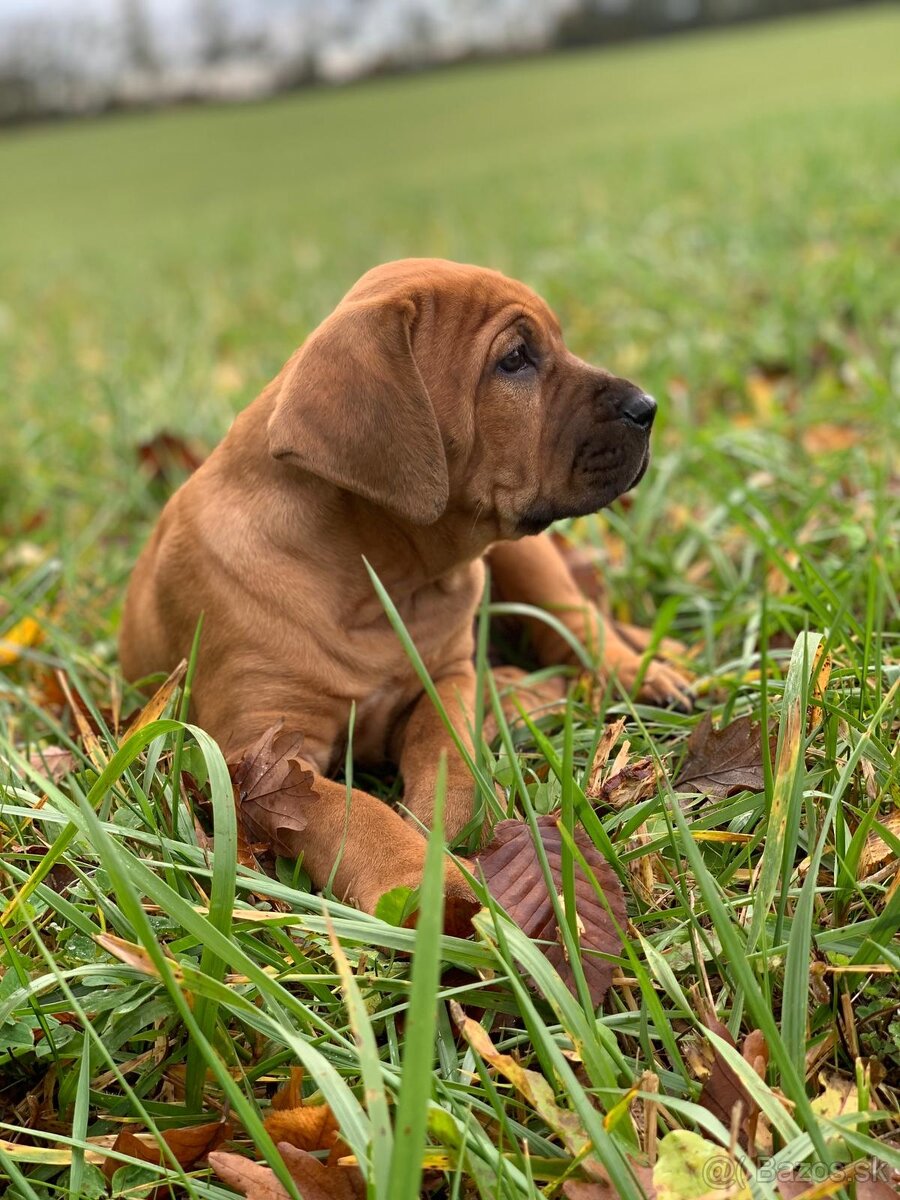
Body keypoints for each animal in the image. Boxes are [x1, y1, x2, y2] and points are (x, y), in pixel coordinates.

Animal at [121, 258, 691, 912]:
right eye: (515, 359)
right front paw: (422, 883)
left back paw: (638, 670)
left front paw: (446, 828)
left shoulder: (446, 676)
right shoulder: (261, 753)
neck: (382, 577)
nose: (648, 407)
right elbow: (351, 811)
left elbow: (447, 750)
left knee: (574, 614)